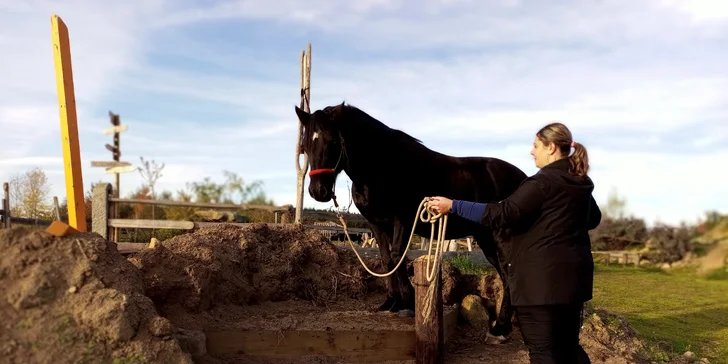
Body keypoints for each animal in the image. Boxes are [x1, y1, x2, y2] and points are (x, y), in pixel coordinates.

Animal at [296, 101, 528, 336]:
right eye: (304, 146)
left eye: (333, 141)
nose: (318, 191)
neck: (381, 167)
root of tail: (523, 179)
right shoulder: (377, 225)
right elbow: (386, 259)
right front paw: (391, 302)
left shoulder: (403, 221)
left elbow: (398, 256)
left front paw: (408, 303)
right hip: (484, 238)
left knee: (508, 273)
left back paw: (500, 328)